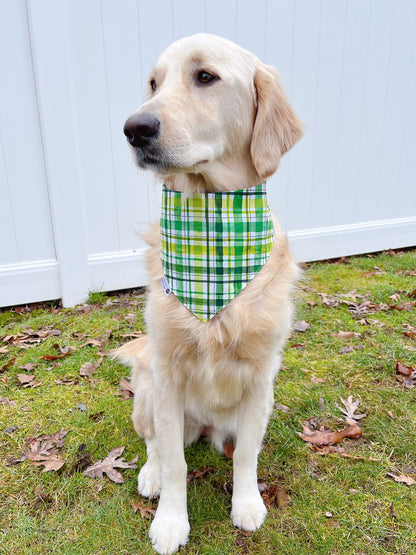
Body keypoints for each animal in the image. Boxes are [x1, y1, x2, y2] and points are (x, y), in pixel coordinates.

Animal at [114, 33, 302, 555]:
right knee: (156, 445)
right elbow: (176, 464)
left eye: (205, 77)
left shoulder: (260, 380)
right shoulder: (169, 376)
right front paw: (170, 523)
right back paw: (150, 475)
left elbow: (247, 456)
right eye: (153, 83)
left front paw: (247, 504)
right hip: (148, 391)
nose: (134, 128)